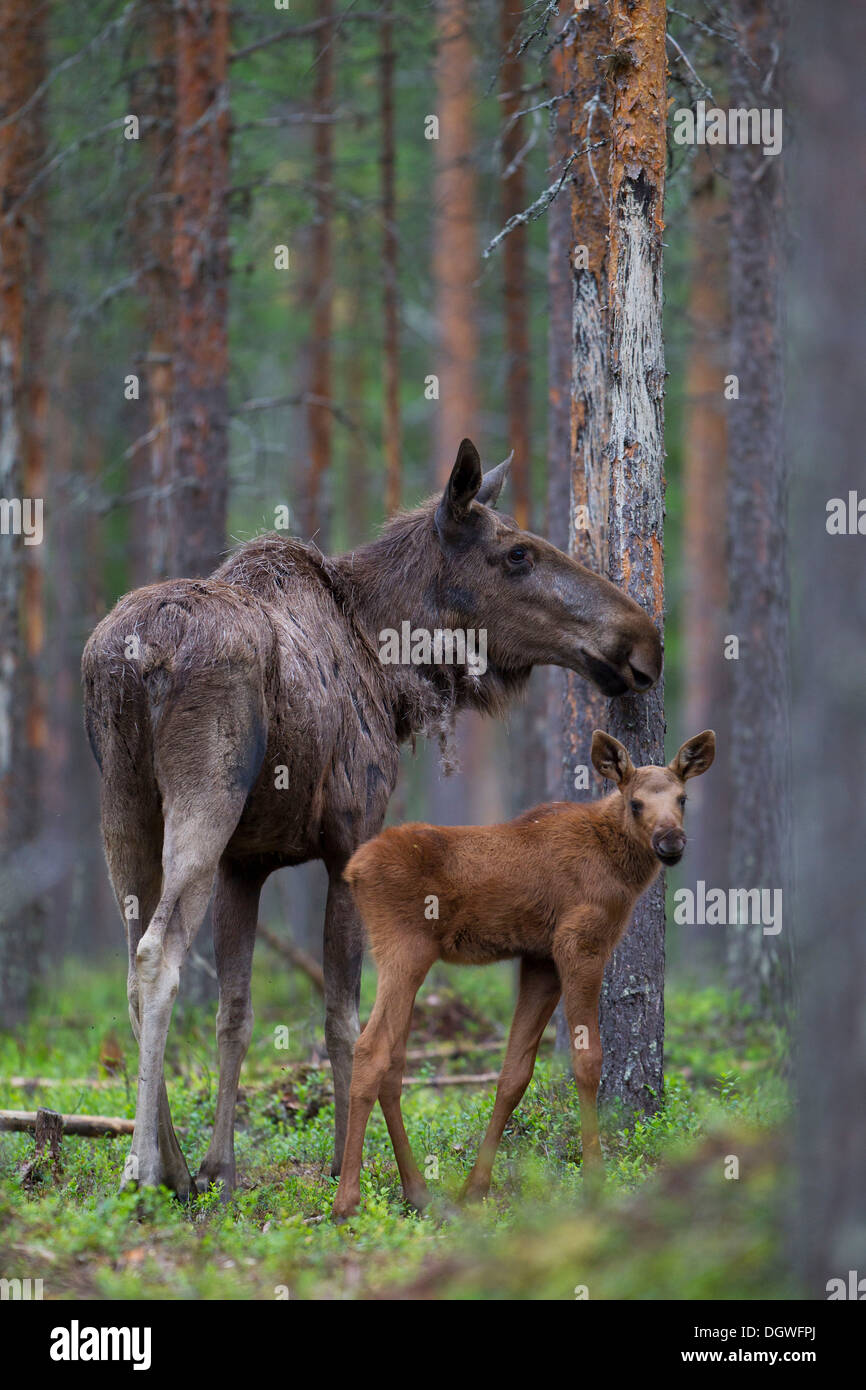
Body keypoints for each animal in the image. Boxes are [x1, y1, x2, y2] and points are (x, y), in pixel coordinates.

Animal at [83, 439, 664, 1200]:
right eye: (516, 553)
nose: (645, 639)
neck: (392, 674)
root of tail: (134, 658)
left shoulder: (247, 863)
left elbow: (236, 1014)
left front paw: (222, 1166)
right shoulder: (350, 840)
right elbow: (343, 1015)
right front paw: (343, 1166)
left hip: (122, 803)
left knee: (129, 961)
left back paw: (176, 1163)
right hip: (203, 793)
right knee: (157, 954)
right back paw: (144, 1168)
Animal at [328, 728, 717, 1217]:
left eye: (683, 798)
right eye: (636, 803)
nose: (671, 841)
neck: (620, 869)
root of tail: (353, 869)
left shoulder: (540, 959)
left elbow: (514, 1074)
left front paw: (476, 1186)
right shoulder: (579, 944)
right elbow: (587, 1060)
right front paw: (595, 1178)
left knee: (395, 1060)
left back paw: (417, 1190)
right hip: (404, 948)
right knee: (371, 1049)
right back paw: (347, 1199)